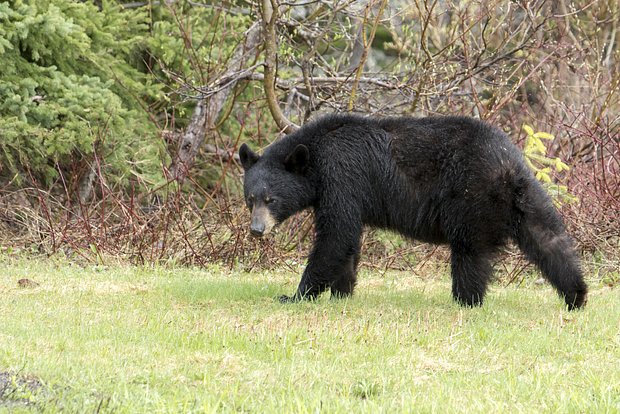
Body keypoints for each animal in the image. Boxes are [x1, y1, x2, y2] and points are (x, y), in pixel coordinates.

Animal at [240, 115, 588, 308]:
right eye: (250, 198)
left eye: (271, 199)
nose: (257, 230)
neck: (317, 153)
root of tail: (509, 164)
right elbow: (347, 242)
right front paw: (342, 292)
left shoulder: (343, 175)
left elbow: (336, 236)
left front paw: (296, 295)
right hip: (524, 199)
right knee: (548, 239)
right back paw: (576, 295)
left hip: (469, 198)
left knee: (469, 253)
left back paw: (466, 300)